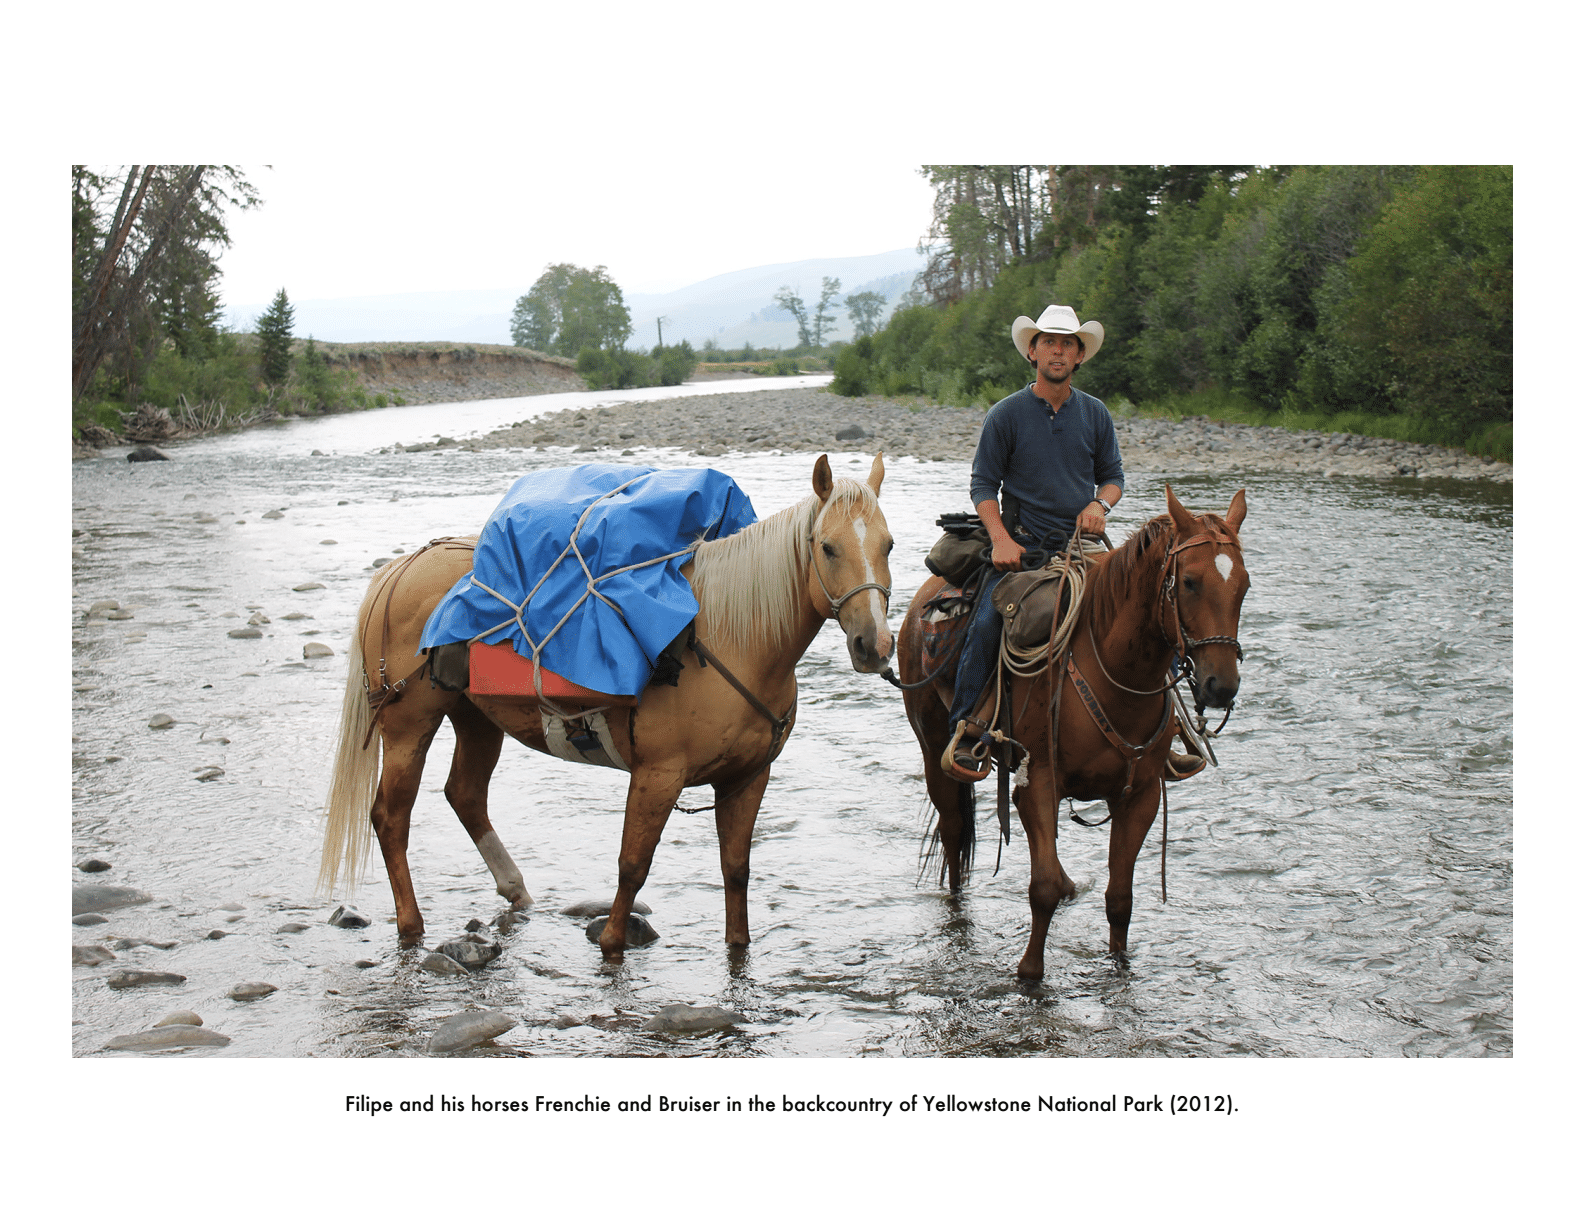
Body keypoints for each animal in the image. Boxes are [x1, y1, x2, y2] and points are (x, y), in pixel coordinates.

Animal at [318, 452, 893, 962]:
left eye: (888, 544)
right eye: (827, 547)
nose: (874, 645)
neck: (736, 641)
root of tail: (397, 570)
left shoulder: (747, 778)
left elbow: (736, 870)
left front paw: (738, 948)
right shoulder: (658, 773)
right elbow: (633, 864)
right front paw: (613, 944)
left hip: (477, 718)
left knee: (465, 796)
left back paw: (517, 891)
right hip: (409, 723)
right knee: (390, 817)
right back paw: (411, 925)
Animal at [899, 484, 1241, 975]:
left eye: (1244, 585)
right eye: (1190, 581)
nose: (1221, 685)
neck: (1115, 673)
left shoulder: (1141, 796)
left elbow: (1120, 899)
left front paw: (1119, 966)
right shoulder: (1037, 782)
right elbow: (1040, 890)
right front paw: (1029, 974)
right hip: (933, 747)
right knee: (953, 830)